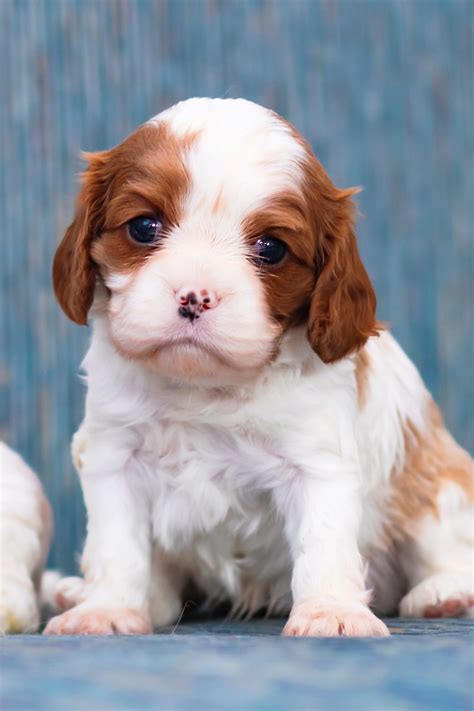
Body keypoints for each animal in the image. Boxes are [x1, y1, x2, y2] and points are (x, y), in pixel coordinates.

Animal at [43, 97, 470, 636]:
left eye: (271, 249)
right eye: (143, 227)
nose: (194, 296)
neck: (206, 389)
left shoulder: (316, 462)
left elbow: (322, 542)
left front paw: (331, 612)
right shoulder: (115, 455)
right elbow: (117, 546)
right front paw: (107, 609)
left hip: (437, 482)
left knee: (443, 539)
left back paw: (444, 594)